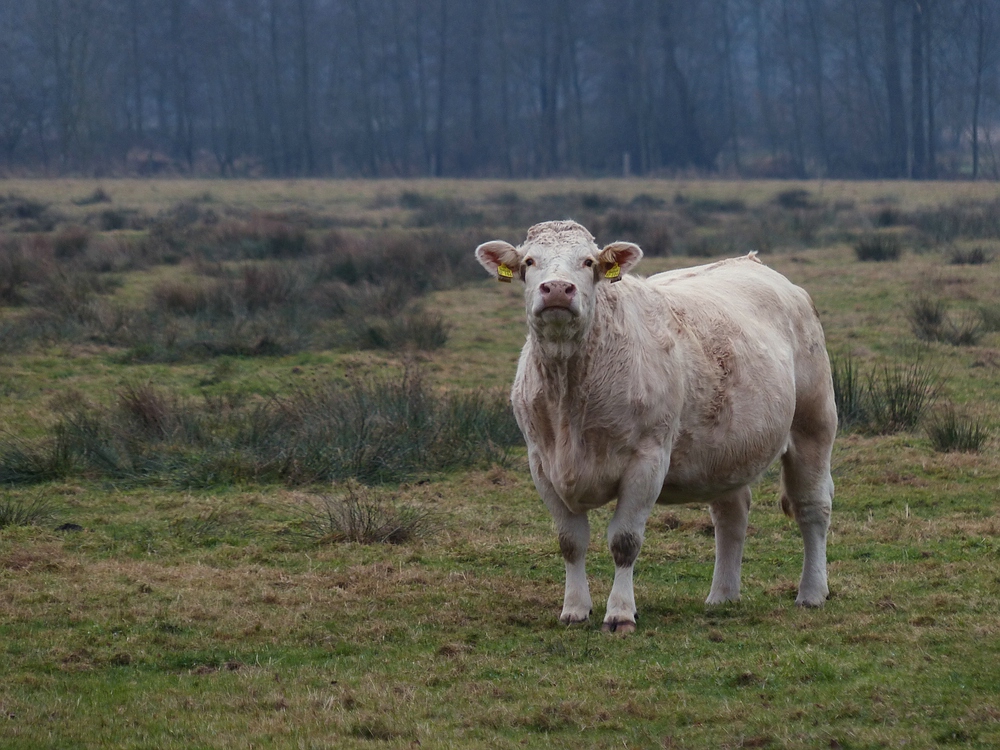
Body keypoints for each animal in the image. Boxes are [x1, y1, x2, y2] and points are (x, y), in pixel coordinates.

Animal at [476, 222, 836, 636]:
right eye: (530, 262)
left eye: (588, 262)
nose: (556, 289)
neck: (569, 391)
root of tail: (754, 263)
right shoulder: (542, 464)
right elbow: (570, 541)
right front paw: (574, 608)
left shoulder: (646, 459)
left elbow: (624, 541)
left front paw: (619, 613)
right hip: (726, 451)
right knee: (731, 515)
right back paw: (722, 595)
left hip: (814, 424)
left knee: (812, 507)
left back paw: (812, 592)